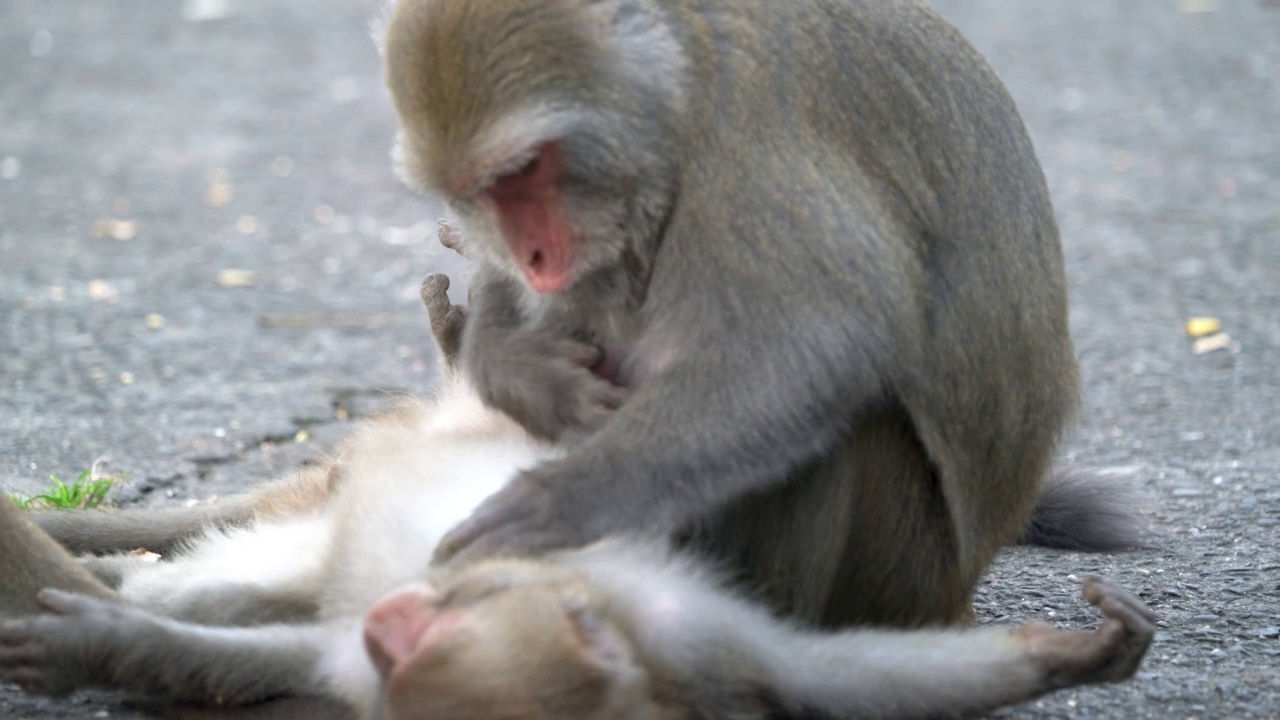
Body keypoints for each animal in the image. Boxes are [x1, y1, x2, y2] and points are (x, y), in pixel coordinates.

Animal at [0, 275, 1162, 717]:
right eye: (440, 613)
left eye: (425, 640)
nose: (392, 618)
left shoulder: (685, 634)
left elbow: (821, 674)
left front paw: (1071, 657)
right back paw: (468, 344)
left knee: (236, 587)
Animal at [376, 0, 1141, 622]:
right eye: (479, 189)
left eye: (528, 167)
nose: (531, 254)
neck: (679, 90)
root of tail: (960, 594)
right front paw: (524, 374)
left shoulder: (748, 154)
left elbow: (819, 343)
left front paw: (566, 500)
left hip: (904, 571)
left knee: (841, 427)